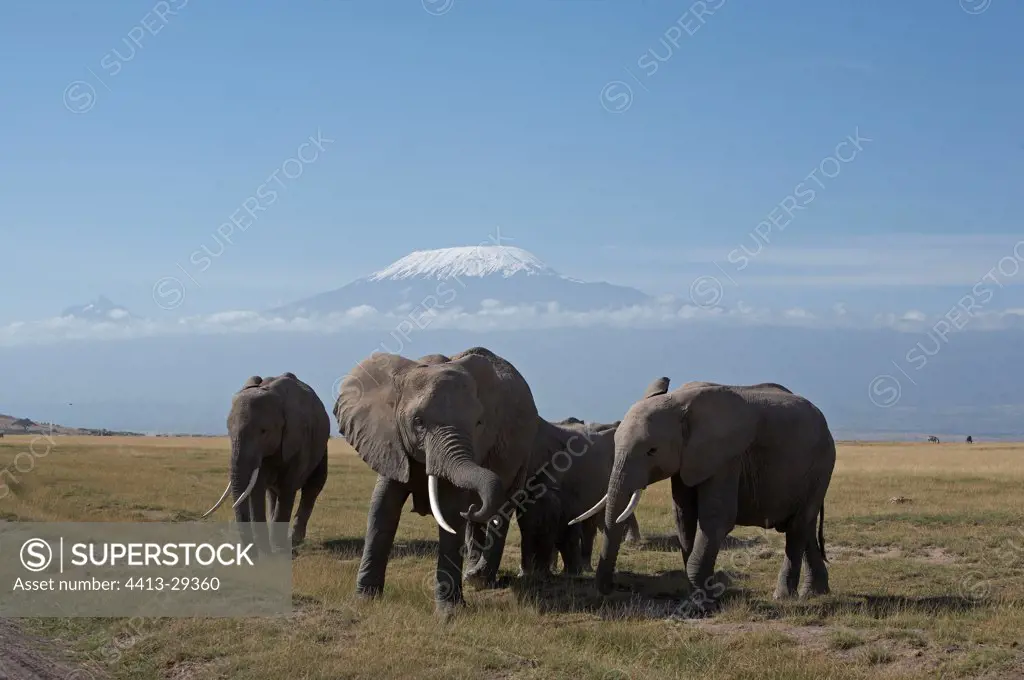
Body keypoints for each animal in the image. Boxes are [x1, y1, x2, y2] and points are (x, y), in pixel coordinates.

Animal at [199, 372, 327, 557]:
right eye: (229, 430)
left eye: (263, 431)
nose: (251, 555)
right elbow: (257, 486)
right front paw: (267, 552)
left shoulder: (299, 438)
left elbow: (288, 486)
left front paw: (278, 550)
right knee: (273, 492)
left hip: (321, 445)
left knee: (313, 486)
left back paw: (295, 540)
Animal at [335, 346, 544, 614]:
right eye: (418, 422)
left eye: (479, 423)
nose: (472, 507)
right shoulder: (389, 441)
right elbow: (382, 506)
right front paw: (365, 600)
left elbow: (451, 511)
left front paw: (449, 613)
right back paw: (472, 573)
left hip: (524, 453)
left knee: (504, 510)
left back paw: (480, 580)